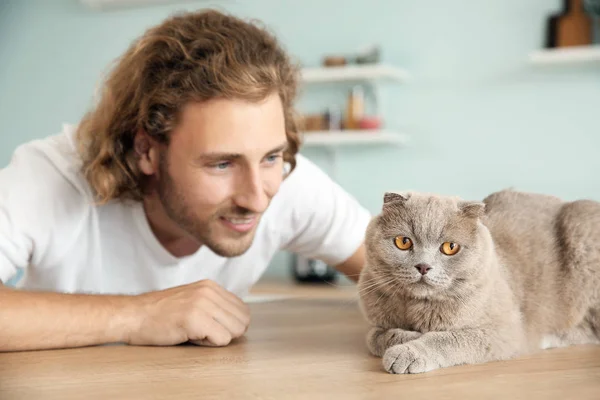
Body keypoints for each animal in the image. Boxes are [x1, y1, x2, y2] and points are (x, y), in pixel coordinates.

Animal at [358, 189, 596, 374]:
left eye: (450, 247)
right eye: (403, 242)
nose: (423, 266)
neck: (417, 307)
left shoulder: (504, 331)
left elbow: (449, 338)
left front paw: (407, 353)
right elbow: (373, 337)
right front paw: (405, 337)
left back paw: (547, 338)